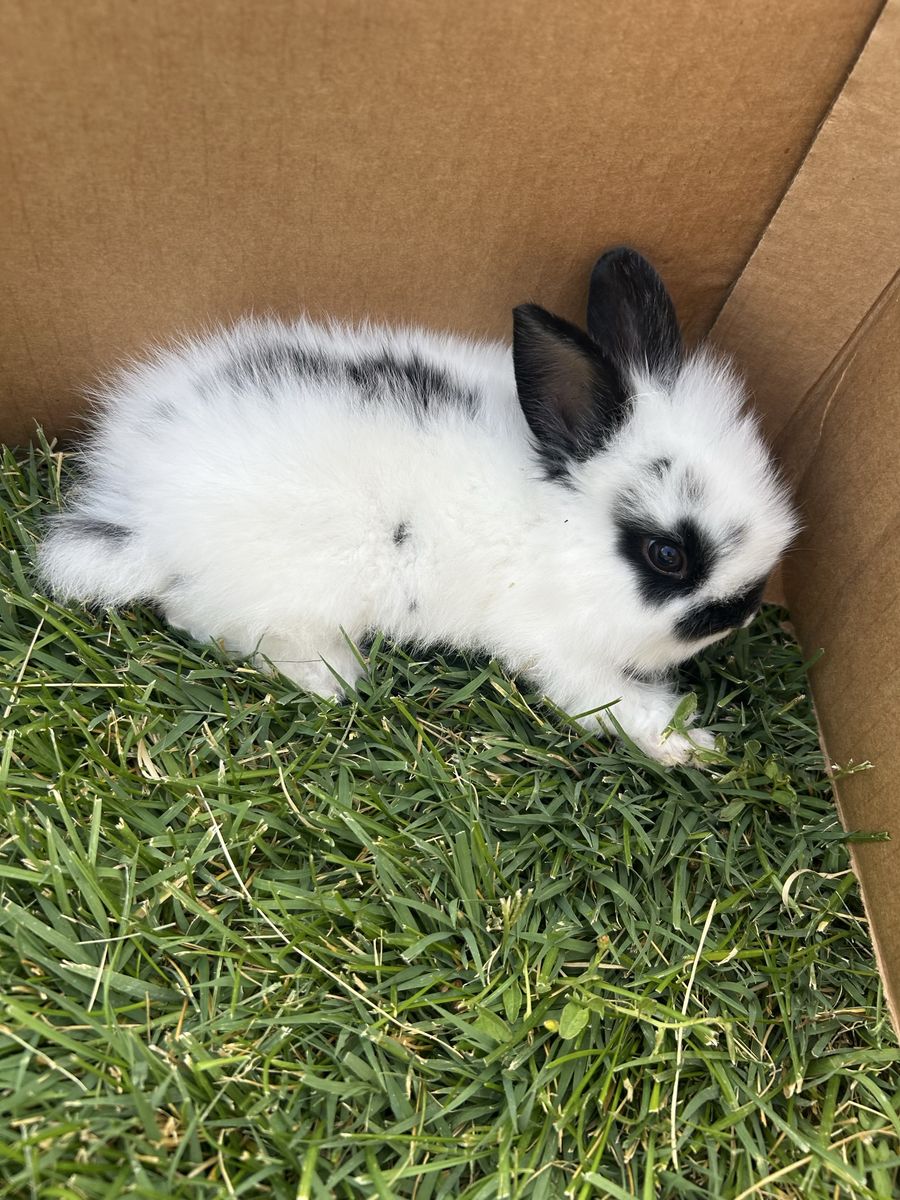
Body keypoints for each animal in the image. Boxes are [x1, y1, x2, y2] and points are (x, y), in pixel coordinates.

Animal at [37, 247, 797, 765]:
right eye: (667, 554)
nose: (743, 609)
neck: (564, 526)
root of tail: (135, 513)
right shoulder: (556, 647)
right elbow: (609, 699)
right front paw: (688, 746)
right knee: (208, 624)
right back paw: (333, 679)